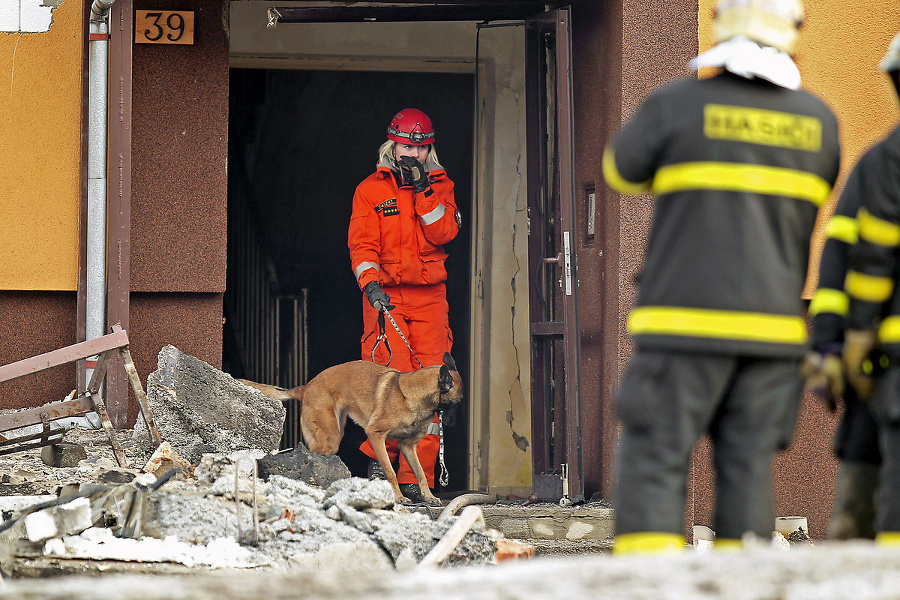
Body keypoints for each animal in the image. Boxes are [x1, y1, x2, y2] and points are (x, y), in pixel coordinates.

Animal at [239, 354, 464, 504]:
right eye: (456, 403)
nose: (453, 425)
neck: (411, 395)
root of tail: (306, 387)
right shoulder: (375, 435)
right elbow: (390, 471)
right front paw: (399, 498)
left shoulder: (408, 447)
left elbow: (420, 474)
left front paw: (429, 496)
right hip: (329, 439)